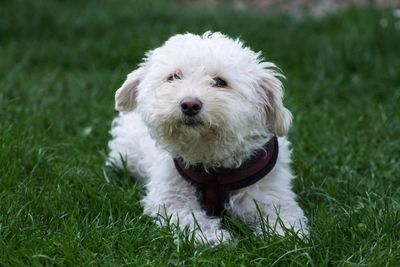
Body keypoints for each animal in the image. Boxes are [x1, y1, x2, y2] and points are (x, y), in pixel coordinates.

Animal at [108, 32, 308, 246]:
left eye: (220, 82)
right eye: (174, 77)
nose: (189, 104)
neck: (210, 163)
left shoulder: (270, 194)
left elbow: (284, 215)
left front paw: (286, 236)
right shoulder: (171, 197)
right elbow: (189, 218)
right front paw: (210, 237)